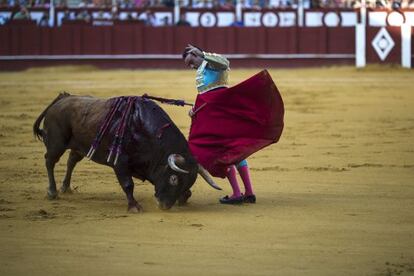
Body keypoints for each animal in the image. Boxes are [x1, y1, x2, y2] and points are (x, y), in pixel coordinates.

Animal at [32, 92, 220, 211]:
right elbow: (128, 184)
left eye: (188, 182)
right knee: (50, 161)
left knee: (71, 161)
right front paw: (134, 206)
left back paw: (66, 188)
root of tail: (62, 98)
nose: (164, 206)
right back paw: (52, 192)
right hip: (57, 143)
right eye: (173, 178)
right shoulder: (120, 163)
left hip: (79, 146)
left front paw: (183, 198)